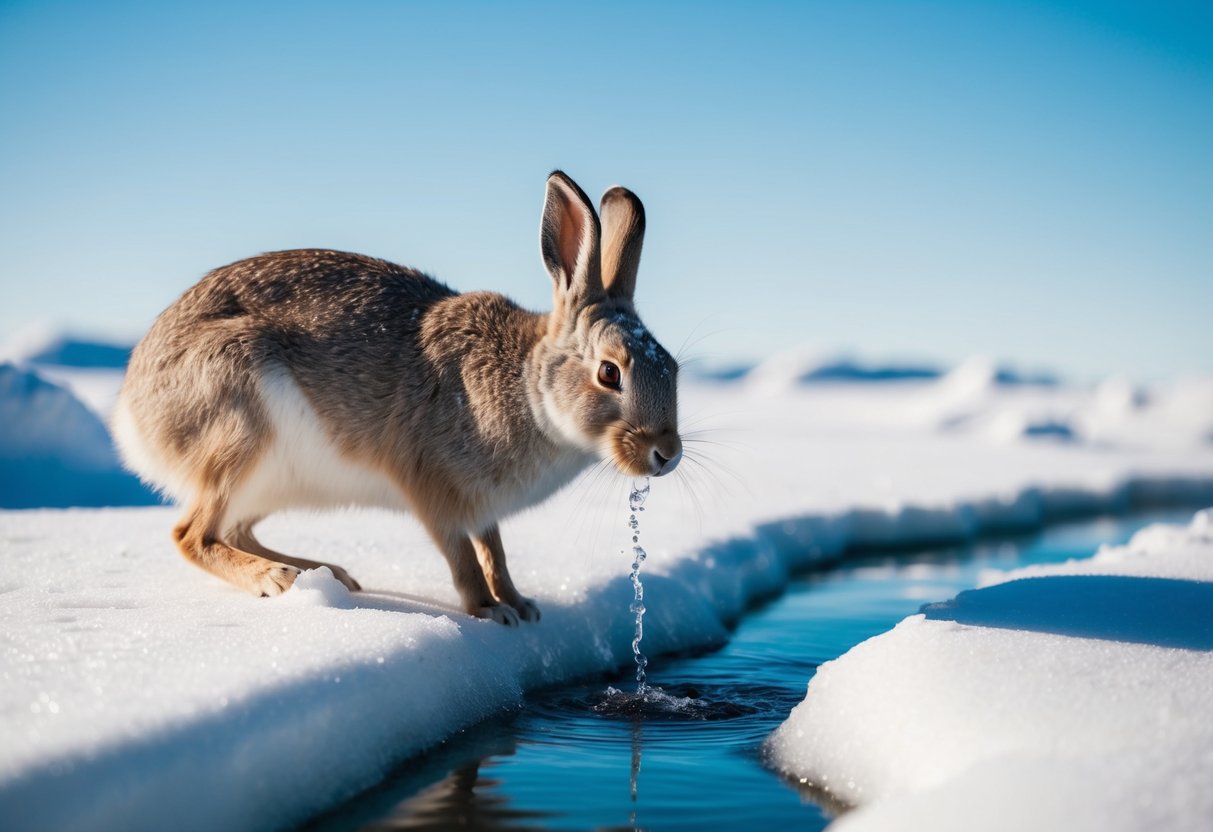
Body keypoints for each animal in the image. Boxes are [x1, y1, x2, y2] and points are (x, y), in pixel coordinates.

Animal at [112, 171, 683, 625]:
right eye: (609, 372)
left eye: (673, 367)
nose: (667, 454)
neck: (528, 387)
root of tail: (132, 412)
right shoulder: (434, 488)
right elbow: (463, 557)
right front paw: (490, 612)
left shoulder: (482, 509)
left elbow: (495, 552)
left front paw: (521, 605)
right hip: (238, 428)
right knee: (193, 535)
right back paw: (276, 579)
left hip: (269, 478)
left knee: (234, 530)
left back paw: (325, 574)